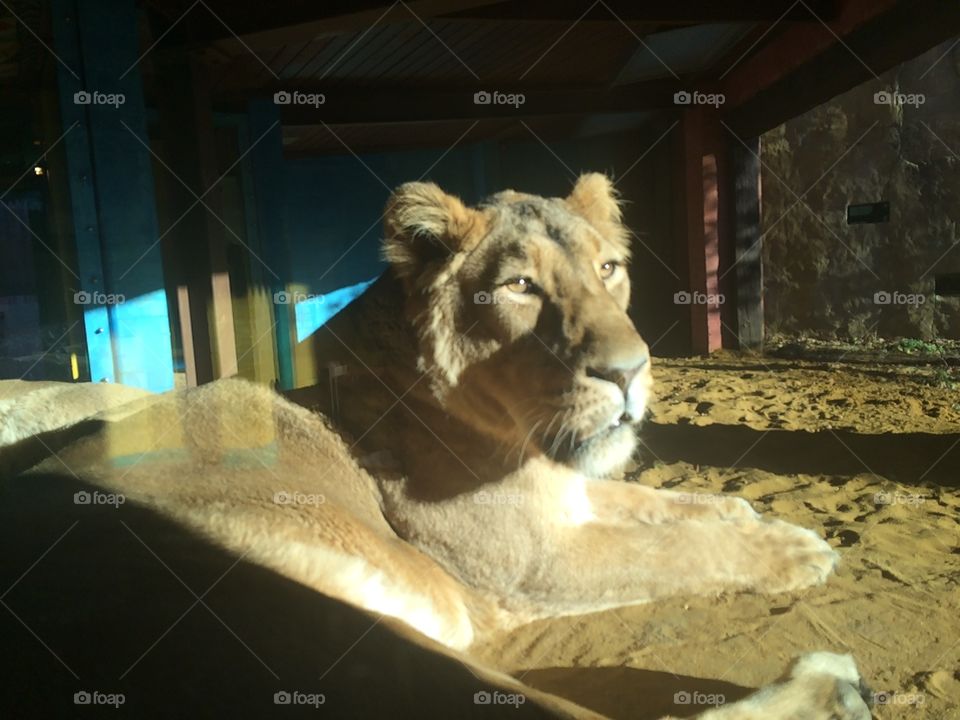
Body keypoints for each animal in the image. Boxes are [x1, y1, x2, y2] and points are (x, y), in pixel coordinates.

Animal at [0, 176, 872, 720]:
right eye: (521, 287)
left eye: (610, 269)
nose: (630, 373)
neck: (520, 436)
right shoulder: (532, 565)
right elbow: (679, 550)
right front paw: (797, 554)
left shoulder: (574, 494)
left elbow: (683, 507)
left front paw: (763, 521)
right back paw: (831, 685)